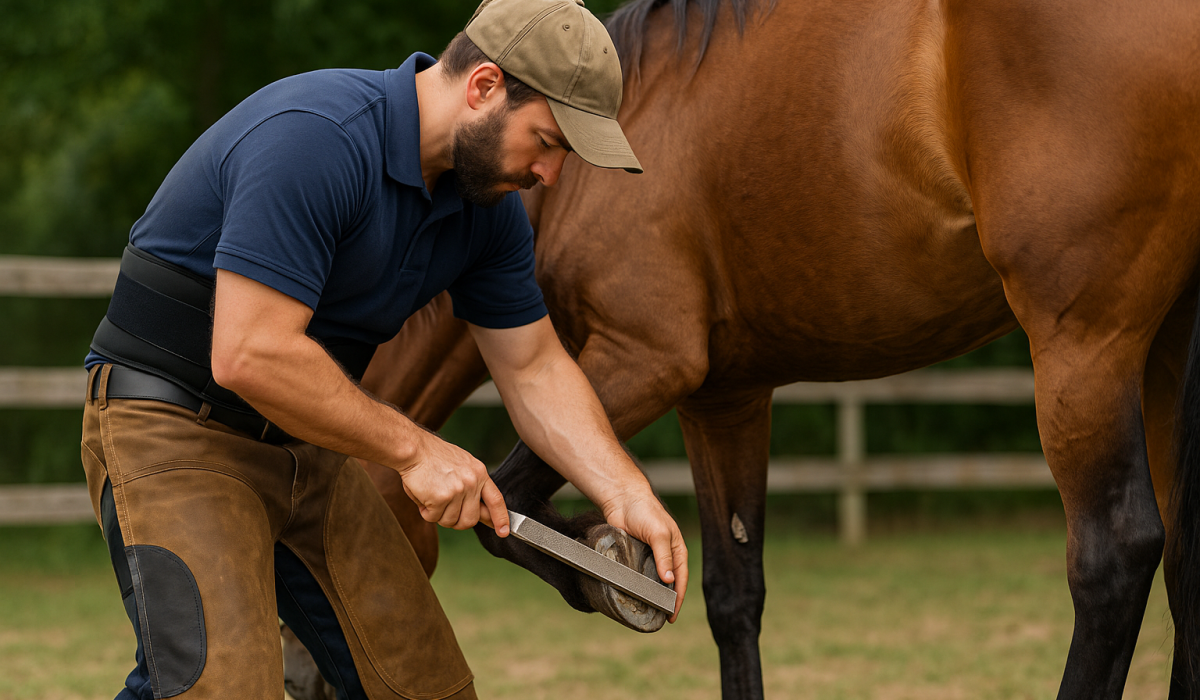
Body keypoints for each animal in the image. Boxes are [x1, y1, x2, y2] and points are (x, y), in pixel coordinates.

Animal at [287, 0, 1200, 697]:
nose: (295, 674)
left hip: (1083, 342)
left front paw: (604, 564)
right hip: (1163, 347)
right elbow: (734, 597)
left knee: (1115, 558)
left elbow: (508, 507)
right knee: (1185, 558)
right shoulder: (722, 398)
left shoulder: (643, 362)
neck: (589, 166)